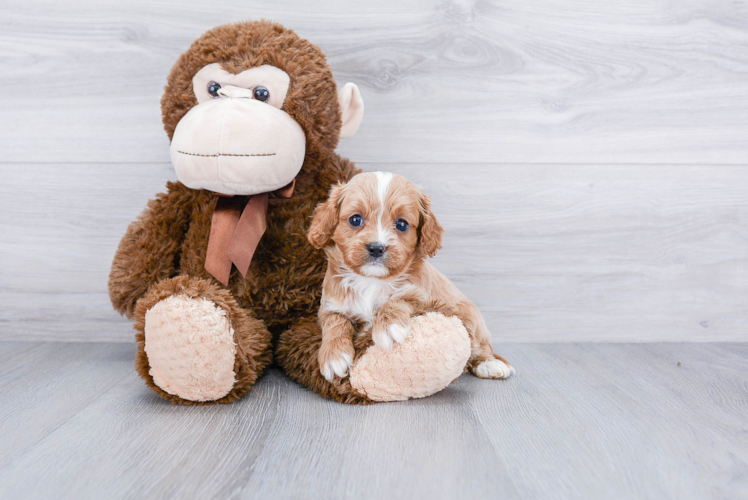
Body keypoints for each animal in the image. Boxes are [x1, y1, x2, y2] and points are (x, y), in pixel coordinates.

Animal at [306, 172, 512, 382]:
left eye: (402, 224)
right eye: (355, 220)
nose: (376, 248)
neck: (371, 281)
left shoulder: (427, 299)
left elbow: (399, 298)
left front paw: (389, 327)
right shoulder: (329, 306)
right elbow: (335, 322)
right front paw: (334, 355)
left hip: (471, 317)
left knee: (480, 346)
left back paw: (490, 364)